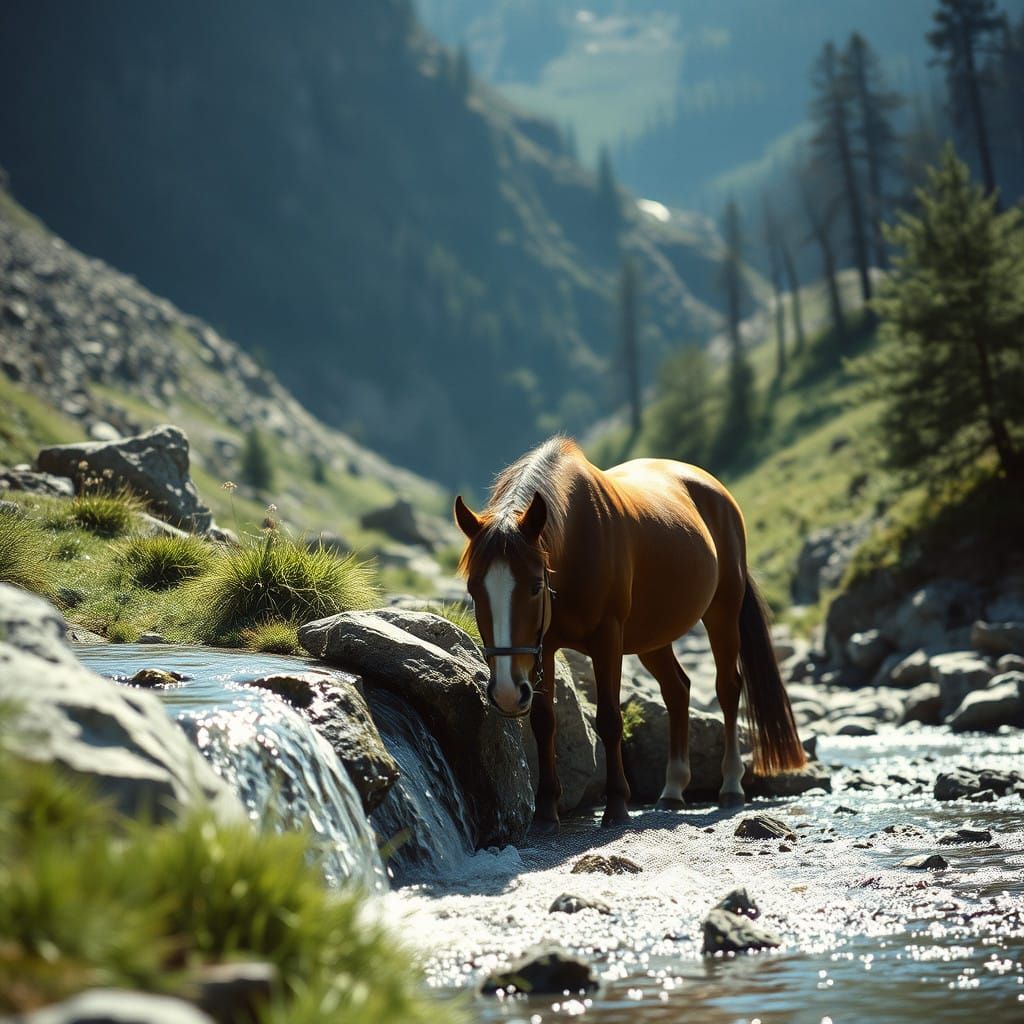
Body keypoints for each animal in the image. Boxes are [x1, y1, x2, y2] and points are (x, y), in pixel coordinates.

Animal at [453, 435, 806, 830]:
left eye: (534, 586)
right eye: (474, 589)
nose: (506, 693)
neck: (577, 537)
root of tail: (716, 491)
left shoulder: (608, 639)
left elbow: (609, 719)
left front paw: (617, 804)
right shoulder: (544, 647)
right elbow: (544, 722)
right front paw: (545, 811)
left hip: (722, 614)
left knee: (727, 690)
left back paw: (730, 785)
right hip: (652, 637)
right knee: (677, 690)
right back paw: (673, 789)